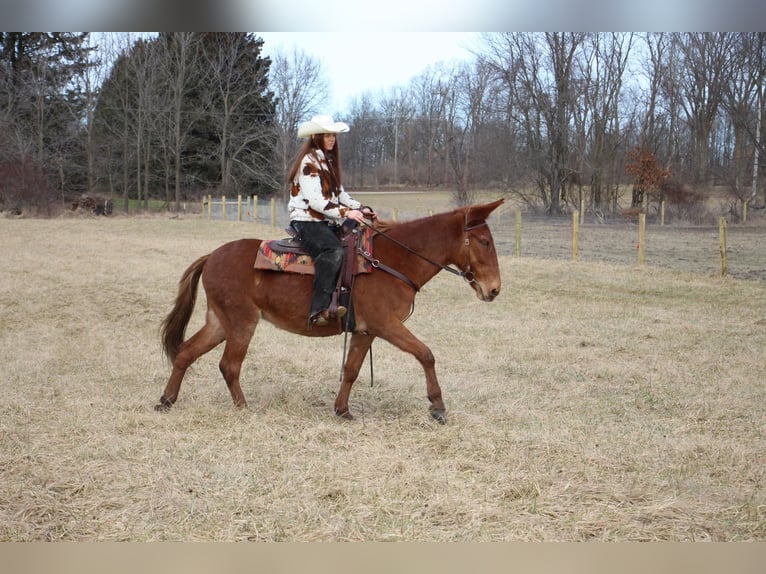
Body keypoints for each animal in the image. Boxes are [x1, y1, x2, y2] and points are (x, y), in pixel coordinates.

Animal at [156, 198, 504, 424]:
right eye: (485, 242)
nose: (494, 290)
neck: (391, 260)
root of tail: (211, 256)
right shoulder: (386, 324)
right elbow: (426, 354)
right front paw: (437, 406)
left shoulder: (366, 331)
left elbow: (351, 370)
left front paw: (343, 410)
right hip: (242, 322)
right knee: (229, 365)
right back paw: (243, 408)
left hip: (219, 322)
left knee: (186, 352)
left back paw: (166, 401)